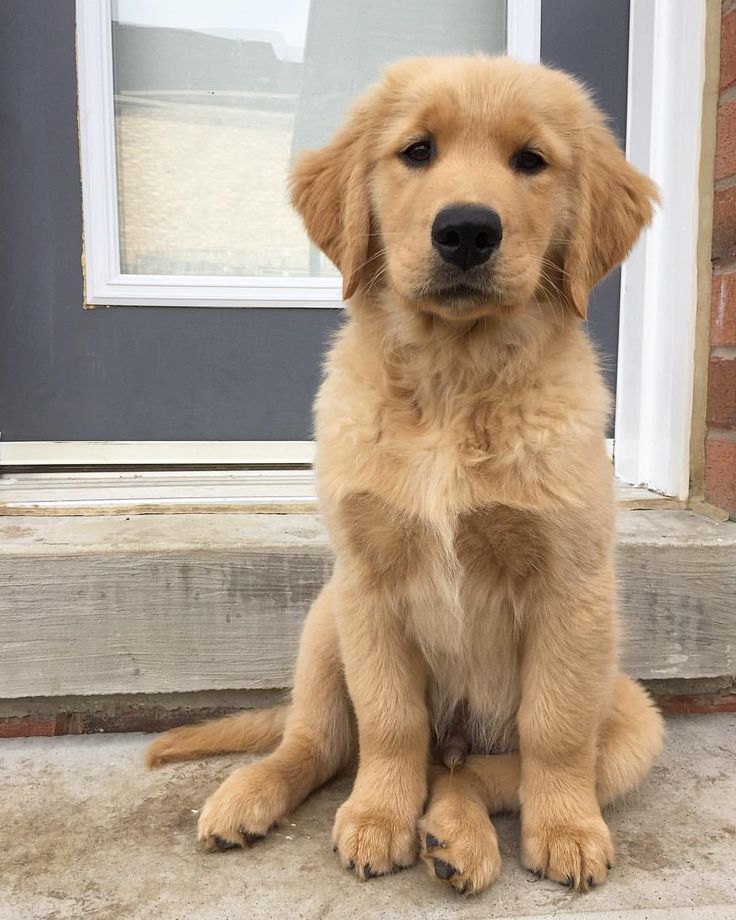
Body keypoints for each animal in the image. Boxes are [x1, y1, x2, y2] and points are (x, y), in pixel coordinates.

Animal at [147, 54, 664, 896]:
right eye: (417, 151)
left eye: (531, 161)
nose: (467, 230)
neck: (454, 379)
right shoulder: (368, 583)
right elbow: (389, 722)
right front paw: (376, 817)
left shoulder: (571, 586)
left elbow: (554, 731)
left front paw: (566, 830)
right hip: (325, 623)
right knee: (324, 742)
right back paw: (254, 794)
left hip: (632, 719)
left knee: (476, 774)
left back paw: (457, 838)